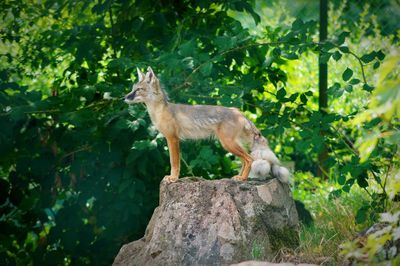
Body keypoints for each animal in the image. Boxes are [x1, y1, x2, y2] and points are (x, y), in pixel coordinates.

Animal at [123, 66, 290, 183]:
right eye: (132, 89)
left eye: (139, 90)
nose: (124, 98)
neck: (161, 111)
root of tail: (239, 112)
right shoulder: (171, 139)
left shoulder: (173, 139)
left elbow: (174, 163)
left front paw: (173, 178)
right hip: (232, 144)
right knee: (245, 160)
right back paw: (239, 177)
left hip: (228, 144)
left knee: (250, 159)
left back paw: (242, 179)